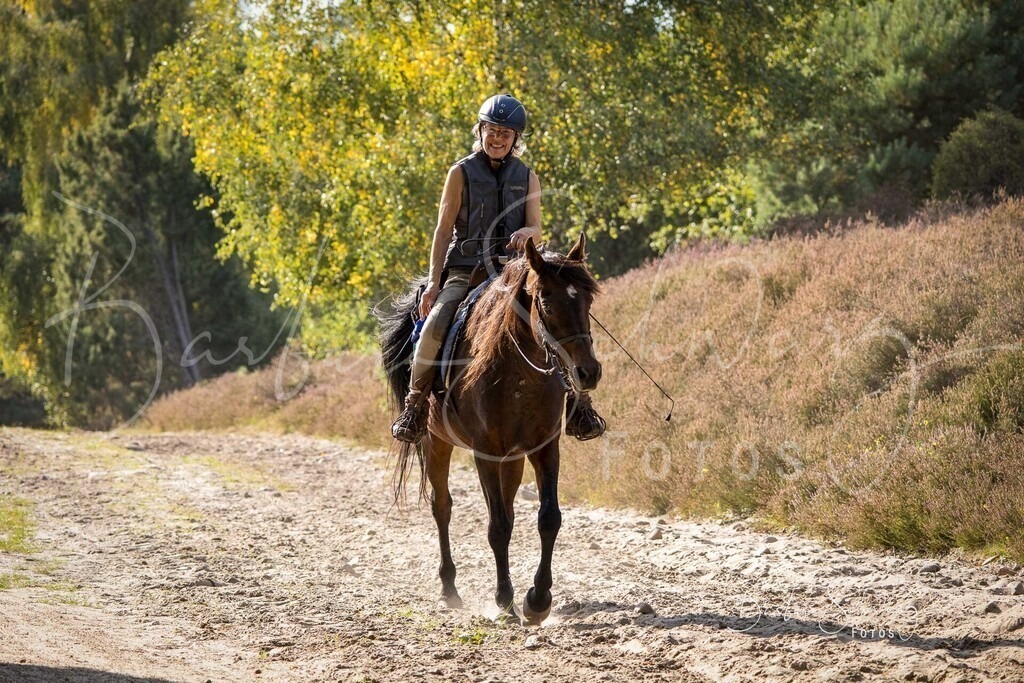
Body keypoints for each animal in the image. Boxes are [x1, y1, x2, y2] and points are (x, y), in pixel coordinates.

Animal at [378, 233, 601, 624]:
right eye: (546, 301)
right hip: (437, 443)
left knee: (506, 506)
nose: (587, 373)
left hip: (511, 459)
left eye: (587, 299)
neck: (519, 372)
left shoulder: (545, 447)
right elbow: (497, 527)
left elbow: (548, 518)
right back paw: (449, 589)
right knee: (443, 507)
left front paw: (537, 600)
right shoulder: (485, 451)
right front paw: (505, 600)